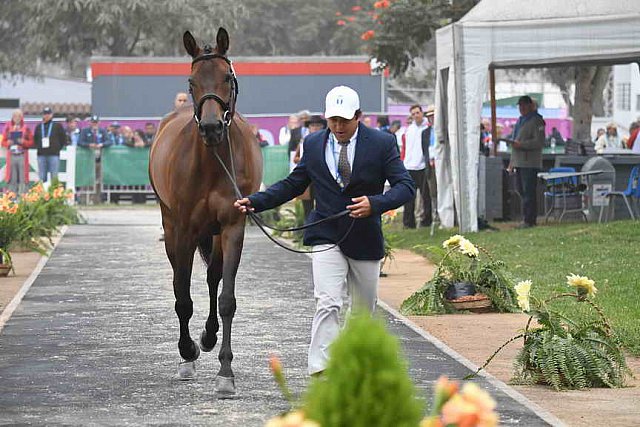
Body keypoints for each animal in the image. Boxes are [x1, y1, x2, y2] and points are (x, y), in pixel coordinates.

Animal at [149, 27, 262, 398]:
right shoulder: (183, 229)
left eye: (227, 77)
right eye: (192, 80)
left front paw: (226, 372)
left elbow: (226, 298)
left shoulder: (233, 225)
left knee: (213, 277)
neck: (213, 163)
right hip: (172, 227)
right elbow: (182, 296)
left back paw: (209, 336)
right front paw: (187, 352)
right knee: (178, 280)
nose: (211, 127)